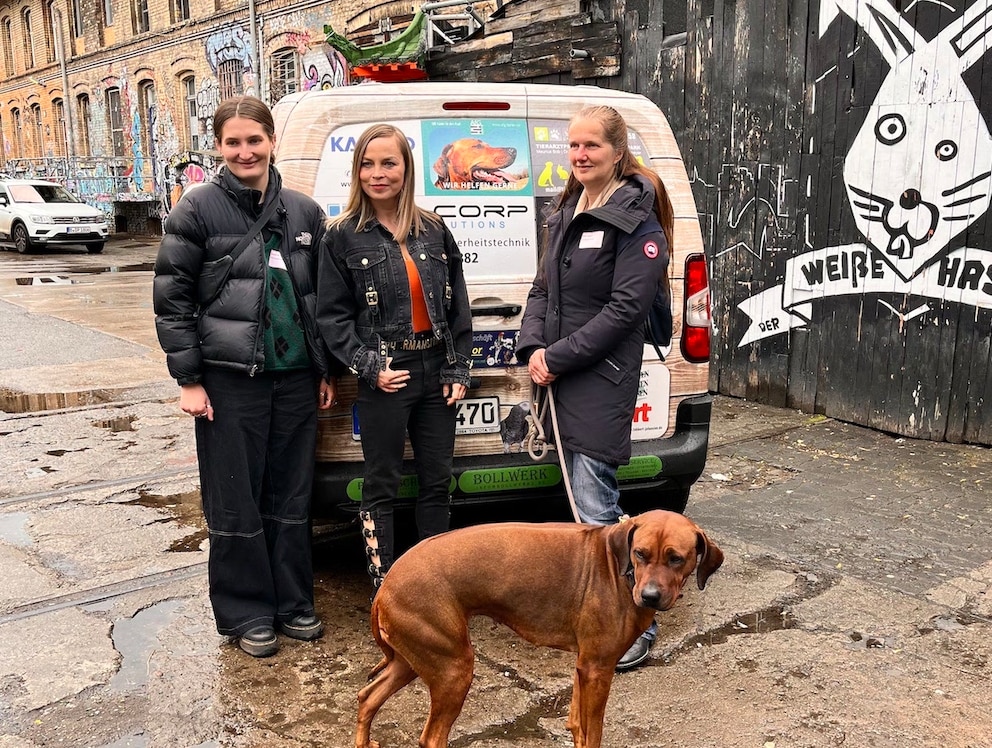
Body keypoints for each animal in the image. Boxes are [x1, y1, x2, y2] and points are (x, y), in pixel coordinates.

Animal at [354, 508, 720, 748]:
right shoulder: (599, 668)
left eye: (676, 558)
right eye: (640, 553)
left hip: (412, 658)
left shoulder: (586, 666)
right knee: (431, 737)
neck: (620, 568)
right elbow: (593, 733)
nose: (650, 596)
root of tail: (386, 583)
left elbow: (577, 723)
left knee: (367, 695)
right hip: (452, 668)